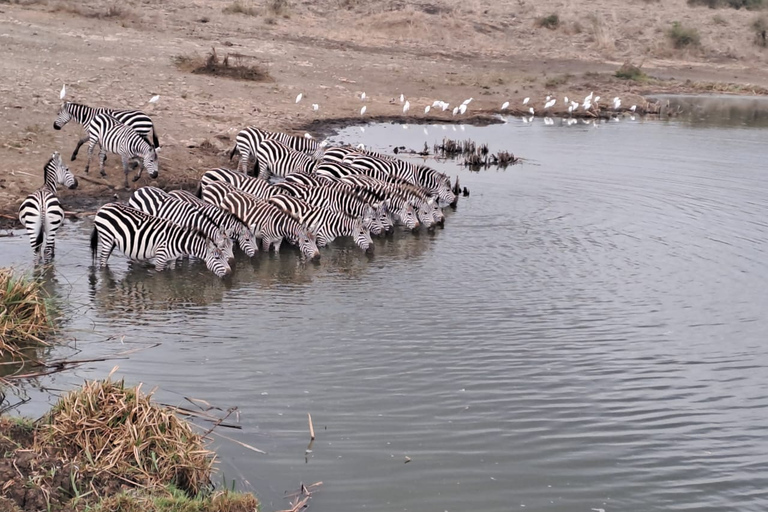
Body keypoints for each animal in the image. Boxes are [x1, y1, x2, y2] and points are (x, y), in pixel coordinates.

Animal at [90, 202, 228, 278]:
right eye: (217, 258)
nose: (230, 273)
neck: (179, 242)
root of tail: (103, 207)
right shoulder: (161, 257)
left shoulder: (172, 260)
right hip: (107, 238)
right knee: (102, 262)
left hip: (112, 241)